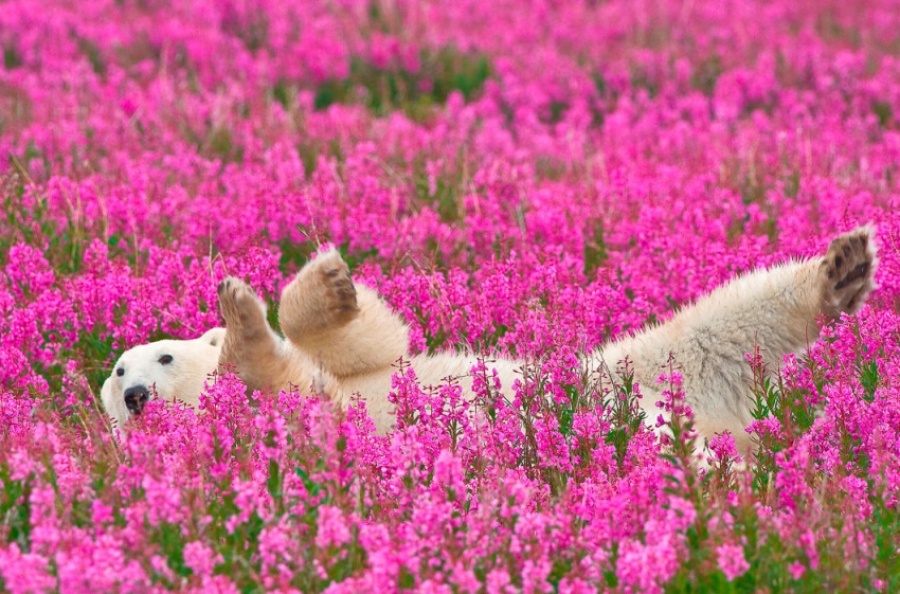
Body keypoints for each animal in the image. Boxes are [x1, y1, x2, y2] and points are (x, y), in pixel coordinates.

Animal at [101, 227, 877, 456]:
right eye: (116, 373)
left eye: (159, 355)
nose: (135, 394)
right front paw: (242, 320)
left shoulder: (355, 372)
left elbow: (374, 343)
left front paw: (316, 284)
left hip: (629, 368)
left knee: (722, 321)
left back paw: (842, 268)